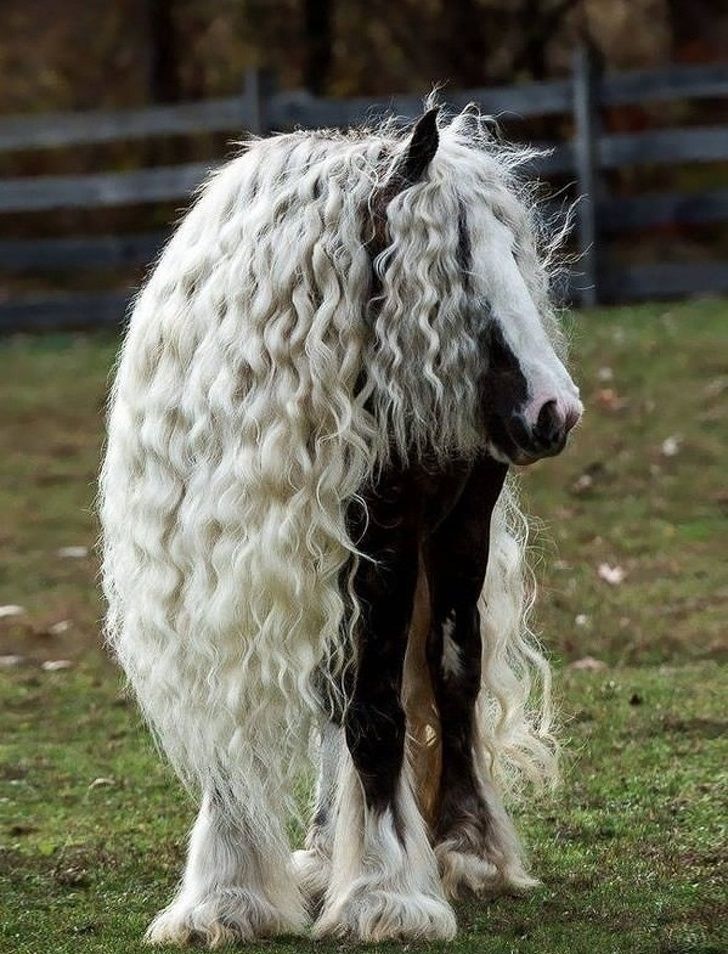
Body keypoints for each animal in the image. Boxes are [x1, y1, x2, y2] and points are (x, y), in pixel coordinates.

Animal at [99, 106, 584, 944]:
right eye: (456, 263)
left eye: (513, 254)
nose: (555, 411)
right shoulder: (217, 574)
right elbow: (247, 717)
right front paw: (227, 896)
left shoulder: (381, 549)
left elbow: (379, 711)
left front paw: (384, 892)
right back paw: (329, 850)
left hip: (456, 535)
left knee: (451, 673)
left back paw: (465, 850)